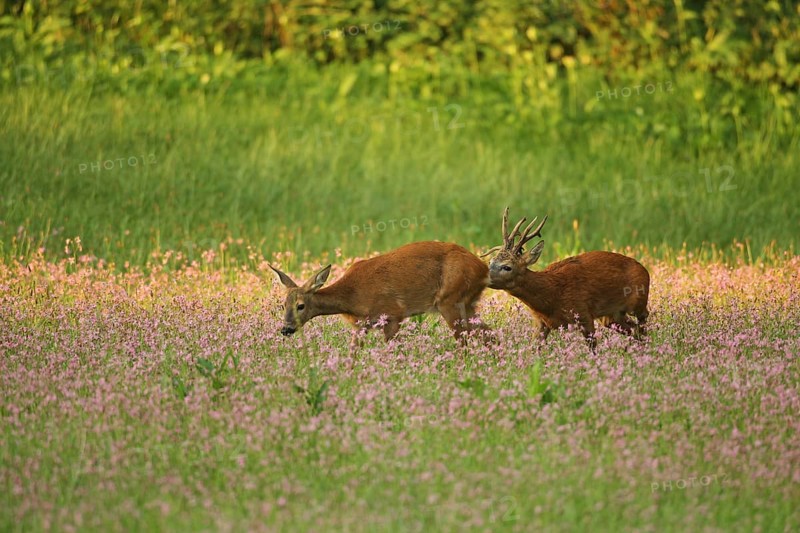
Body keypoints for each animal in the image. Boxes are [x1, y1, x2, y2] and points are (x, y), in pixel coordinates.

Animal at [269, 241, 491, 348]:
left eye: (300, 305)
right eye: (283, 305)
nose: (285, 329)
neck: (352, 296)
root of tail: (484, 268)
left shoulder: (392, 314)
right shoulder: (360, 325)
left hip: (450, 300)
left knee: (464, 341)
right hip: (467, 303)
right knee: (489, 333)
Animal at [483, 208, 650, 351]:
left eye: (507, 267)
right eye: (490, 261)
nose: (484, 276)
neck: (551, 295)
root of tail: (644, 269)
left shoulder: (584, 313)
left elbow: (593, 349)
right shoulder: (540, 323)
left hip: (638, 302)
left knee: (643, 324)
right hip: (612, 316)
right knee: (634, 330)